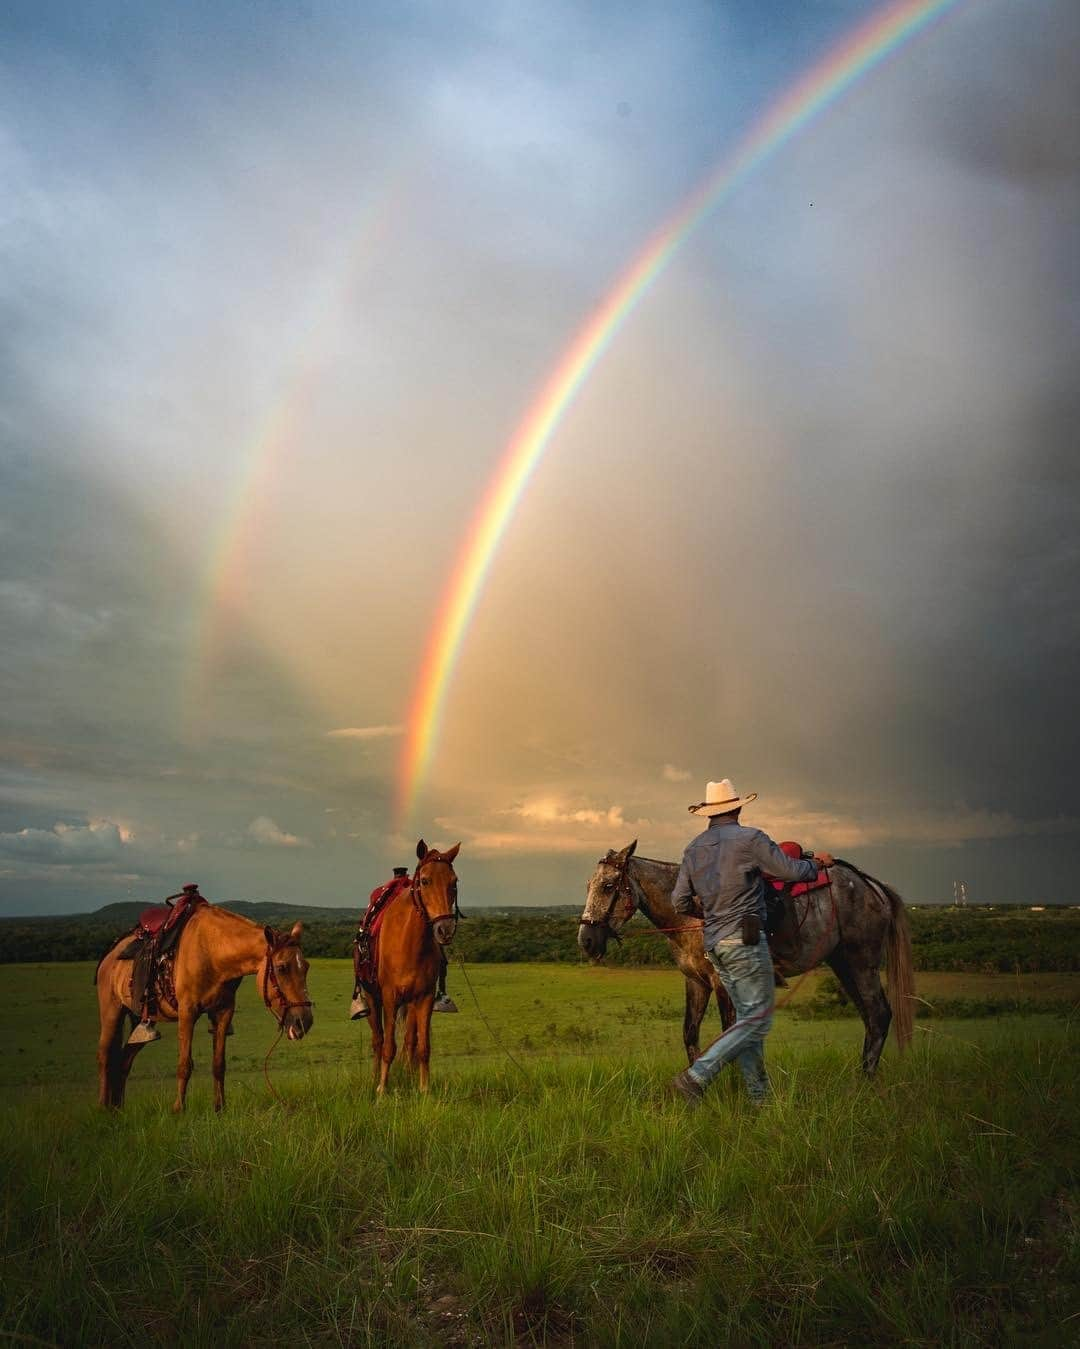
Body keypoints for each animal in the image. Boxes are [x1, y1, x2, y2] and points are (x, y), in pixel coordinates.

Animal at [96, 906, 311, 1106]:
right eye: (282, 967)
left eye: (306, 967)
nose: (305, 1022)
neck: (213, 952)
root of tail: (111, 953)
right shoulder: (187, 1012)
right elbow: (184, 1065)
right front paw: (179, 1109)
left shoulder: (223, 1012)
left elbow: (219, 1064)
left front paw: (220, 1108)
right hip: (112, 1012)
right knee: (105, 1057)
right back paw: (103, 1108)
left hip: (140, 1021)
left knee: (124, 1062)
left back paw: (117, 1109)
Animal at [364, 836, 461, 1089]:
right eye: (425, 881)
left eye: (454, 882)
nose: (445, 929)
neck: (409, 944)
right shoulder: (389, 997)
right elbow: (388, 1046)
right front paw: (381, 1089)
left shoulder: (424, 998)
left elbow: (422, 1047)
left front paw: (424, 1089)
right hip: (373, 998)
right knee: (378, 1040)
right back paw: (374, 1077)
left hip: (410, 1004)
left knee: (410, 1040)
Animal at [577, 841, 916, 1073]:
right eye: (589, 885)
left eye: (608, 886)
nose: (586, 941)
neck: (691, 914)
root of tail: (871, 885)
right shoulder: (696, 982)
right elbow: (690, 1034)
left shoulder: (722, 982)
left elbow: (728, 1035)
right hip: (843, 964)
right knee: (870, 1018)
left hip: (862, 964)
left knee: (879, 1014)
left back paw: (864, 1081)